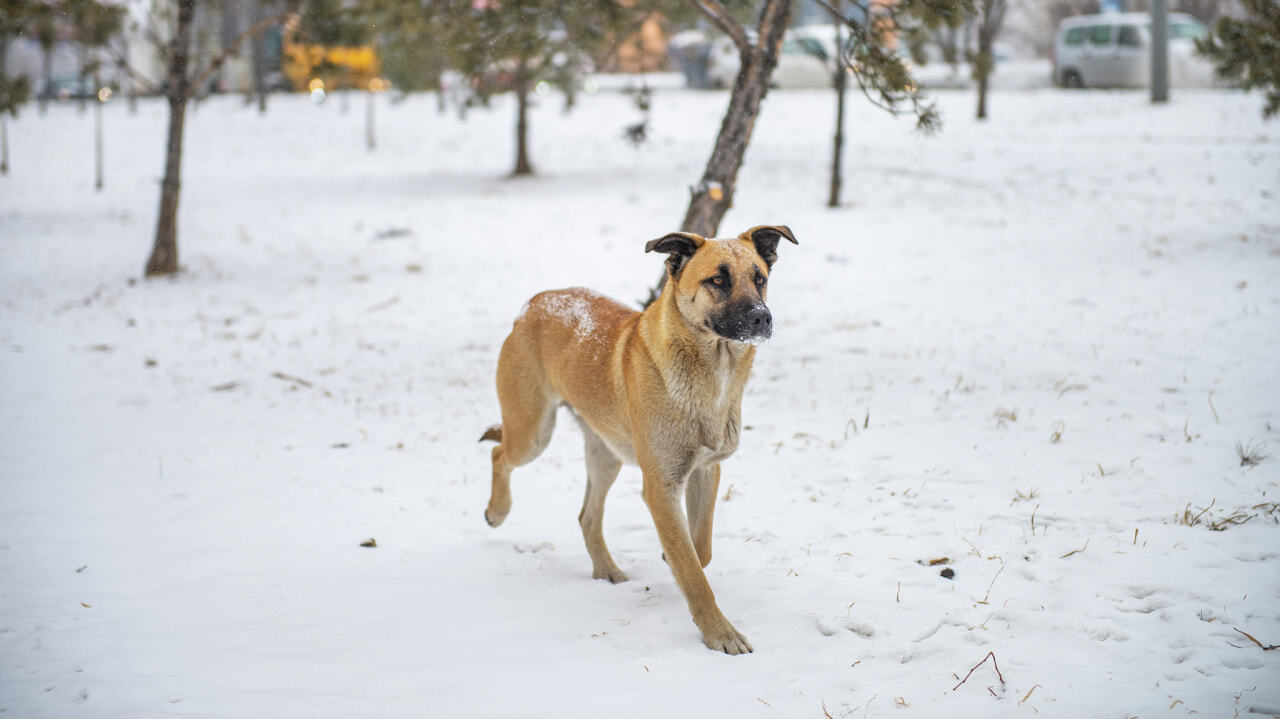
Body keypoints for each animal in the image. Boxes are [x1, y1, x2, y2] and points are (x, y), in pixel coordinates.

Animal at [481, 225, 793, 655]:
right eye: (718, 280)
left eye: (760, 278)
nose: (762, 317)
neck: (709, 371)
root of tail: (534, 302)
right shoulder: (661, 485)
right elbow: (693, 571)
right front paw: (720, 633)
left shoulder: (705, 471)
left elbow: (700, 549)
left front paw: (674, 559)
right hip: (533, 431)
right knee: (499, 453)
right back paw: (498, 511)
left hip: (605, 453)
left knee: (587, 515)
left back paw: (605, 570)